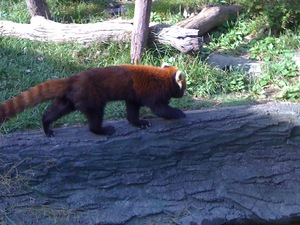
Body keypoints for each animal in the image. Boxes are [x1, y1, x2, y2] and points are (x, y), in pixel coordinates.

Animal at [0, 63, 186, 137]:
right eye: (184, 88)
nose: (184, 94)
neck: (163, 78)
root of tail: (73, 79)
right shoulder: (152, 92)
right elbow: (160, 109)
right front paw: (179, 113)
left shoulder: (133, 95)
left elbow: (132, 110)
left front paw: (138, 122)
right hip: (91, 97)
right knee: (95, 116)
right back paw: (102, 130)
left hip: (71, 98)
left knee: (56, 110)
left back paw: (46, 126)